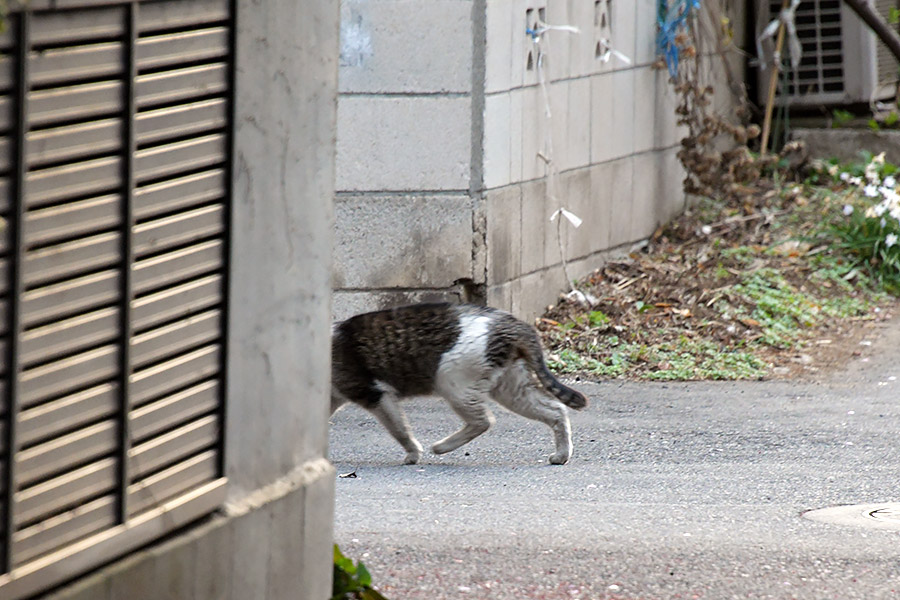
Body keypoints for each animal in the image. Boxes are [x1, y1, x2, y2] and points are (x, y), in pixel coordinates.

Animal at [328, 304, 584, 464]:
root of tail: (512, 322)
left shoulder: (374, 394)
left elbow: (399, 430)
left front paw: (413, 453)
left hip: (451, 379)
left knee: (484, 421)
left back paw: (441, 447)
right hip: (511, 388)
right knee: (556, 410)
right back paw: (562, 455)